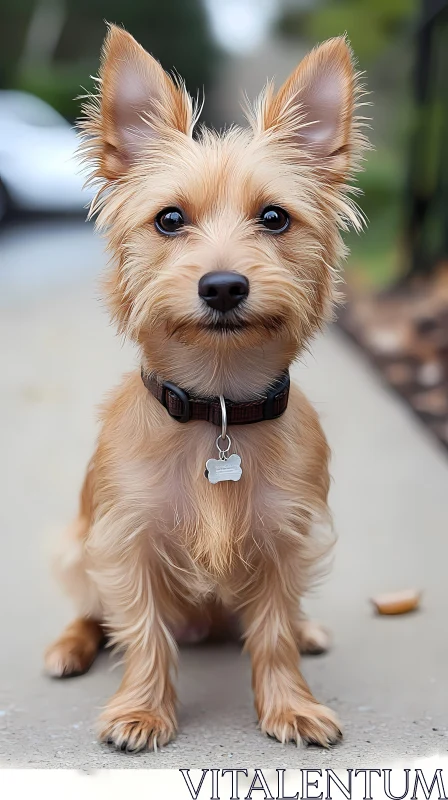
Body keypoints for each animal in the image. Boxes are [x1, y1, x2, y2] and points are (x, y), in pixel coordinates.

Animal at [44, 23, 368, 752]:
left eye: (274, 218)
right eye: (169, 220)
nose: (222, 287)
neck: (217, 406)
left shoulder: (286, 540)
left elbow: (273, 633)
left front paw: (290, 705)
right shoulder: (126, 543)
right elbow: (141, 634)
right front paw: (141, 711)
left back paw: (309, 630)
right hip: (77, 547)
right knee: (90, 611)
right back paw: (69, 645)